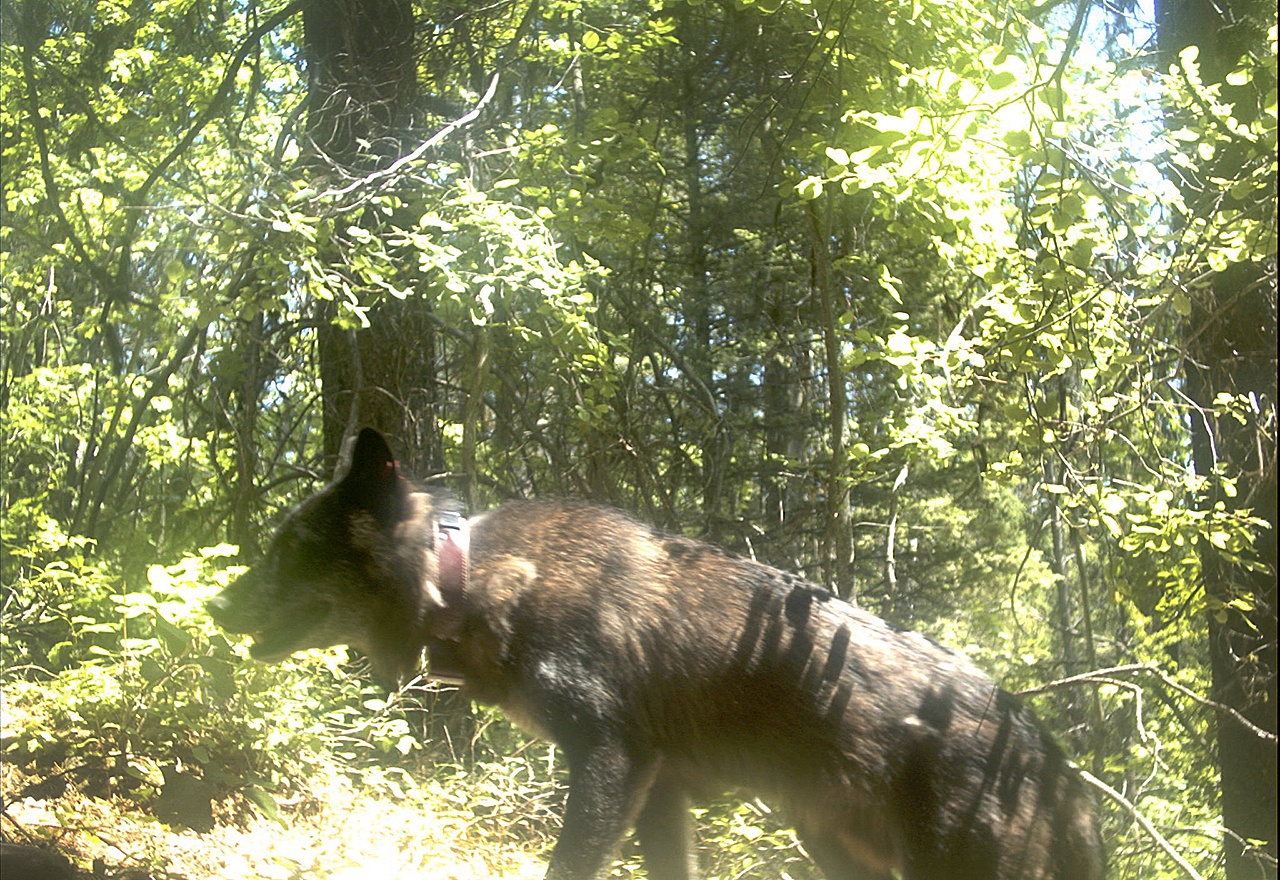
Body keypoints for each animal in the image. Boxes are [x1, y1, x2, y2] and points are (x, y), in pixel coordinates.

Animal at [207, 427, 1100, 880]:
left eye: (288, 547)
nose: (213, 605)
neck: (472, 581)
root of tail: (1060, 767)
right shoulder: (659, 790)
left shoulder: (610, 761)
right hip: (838, 850)